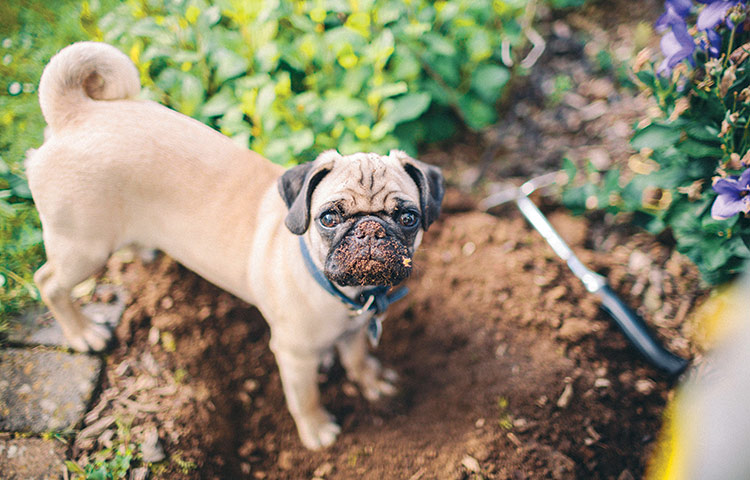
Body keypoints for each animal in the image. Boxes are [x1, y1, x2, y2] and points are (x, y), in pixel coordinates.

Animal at [26, 42, 444, 450]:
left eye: (408, 218)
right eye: (329, 218)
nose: (370, 230)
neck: (349, 293)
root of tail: (76, 112)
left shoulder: (355, 333)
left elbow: (356, 358)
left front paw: (370, 381)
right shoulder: (294, 356)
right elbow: (305, 397)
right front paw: (317, 431)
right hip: (84, 247)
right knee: (49, 282)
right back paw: (84, 334)